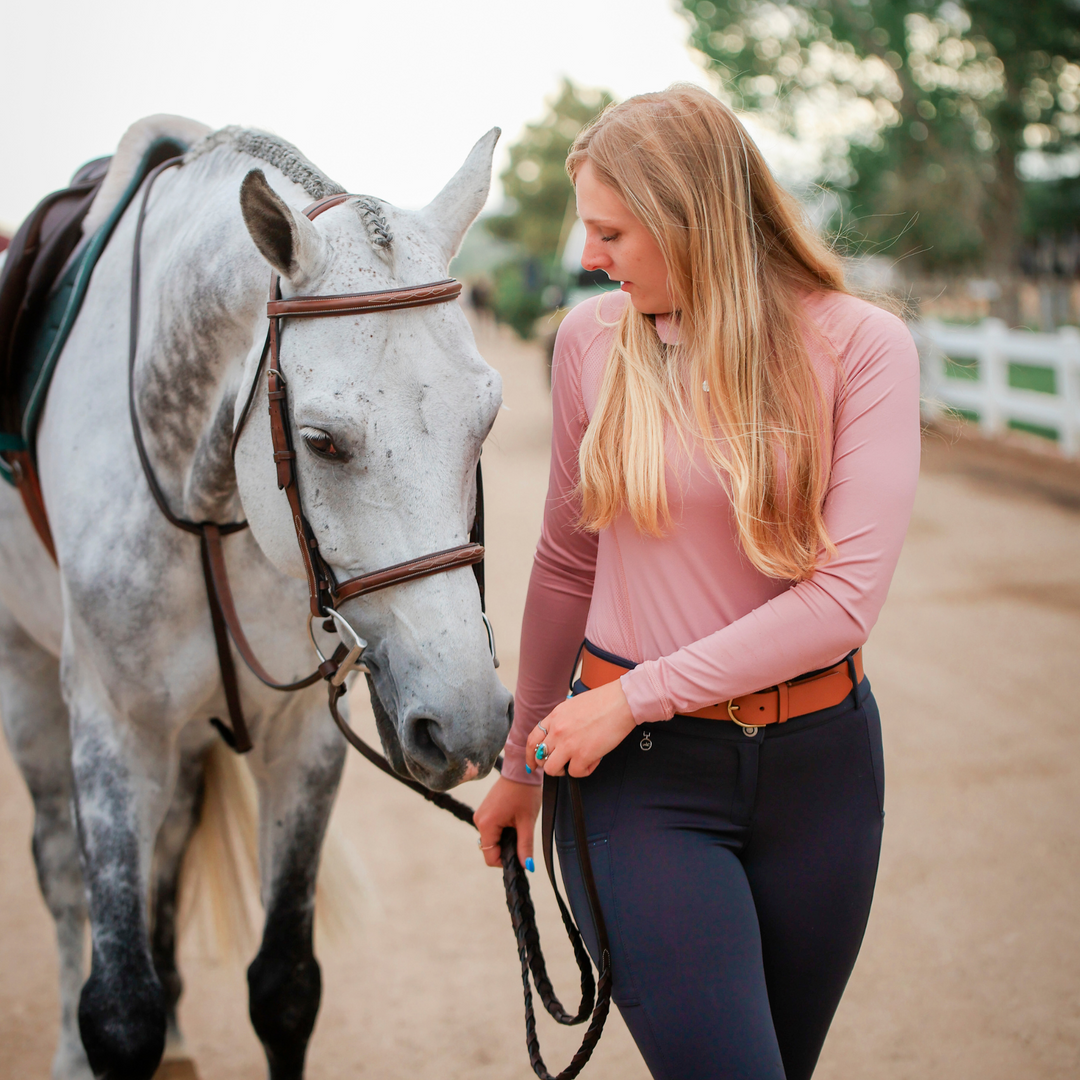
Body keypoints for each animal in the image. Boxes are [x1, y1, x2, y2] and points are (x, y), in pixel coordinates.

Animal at [0, 118, 511, 1080]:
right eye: (321, 441)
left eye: (486, 420)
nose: (466, 720)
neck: (209, 501)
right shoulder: (115, 726)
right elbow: (116, 1009)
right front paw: (113, 1035)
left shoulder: (299, 735)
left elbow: (284, 987)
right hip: (28, 679)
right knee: (57, 871)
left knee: (169, 840)